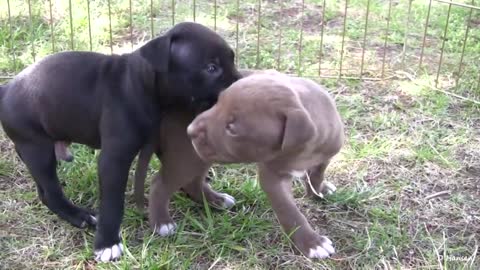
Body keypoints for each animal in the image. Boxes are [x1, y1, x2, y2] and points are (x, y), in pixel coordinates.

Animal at [0, 22, 240, 262]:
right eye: (211, 68)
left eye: (232, 59)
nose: (241, 86)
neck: (143, 85)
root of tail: (7, 88)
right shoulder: (115, 159)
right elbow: (113, 203)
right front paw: (107, 243)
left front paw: (212, 199)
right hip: (36, 148)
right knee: (50, 192)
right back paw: (80, 216)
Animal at [186, 70, 344, 258]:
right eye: (218, 102)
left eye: (231, 128)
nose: (190, 130)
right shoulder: (272, 177)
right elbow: (288, 210)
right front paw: (312, 243)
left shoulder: (327, 153)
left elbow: (317, 175)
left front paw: (318, 191)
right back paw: (216, 199)